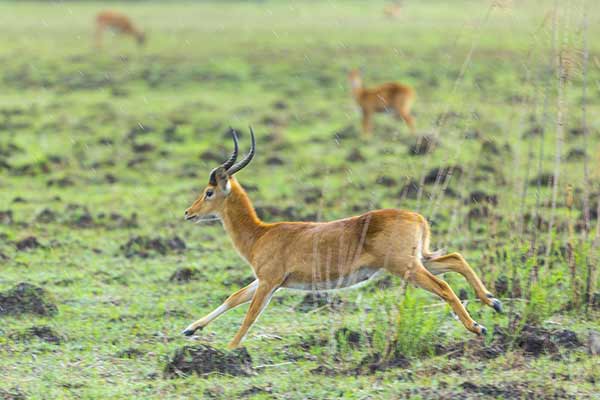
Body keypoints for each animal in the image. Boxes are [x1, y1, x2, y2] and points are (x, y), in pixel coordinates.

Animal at [180, 130, 500, 348]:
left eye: (209, 192)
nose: (188, 212)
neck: (261, 234)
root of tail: (417, 216)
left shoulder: (270, 282)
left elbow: (250, 315)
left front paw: (230, 349)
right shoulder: (266, 281)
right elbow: (234, 297)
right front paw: (190, 329)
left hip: (405, 267)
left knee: (444, 285)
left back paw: (478, 327)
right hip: (420, 259)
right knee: (456, 259)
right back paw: (493, 301)